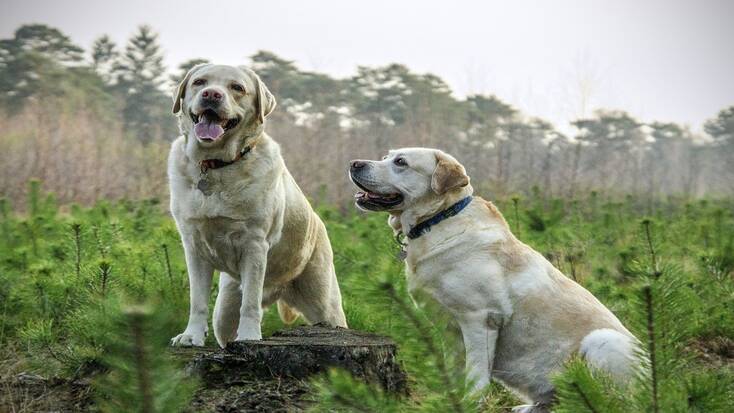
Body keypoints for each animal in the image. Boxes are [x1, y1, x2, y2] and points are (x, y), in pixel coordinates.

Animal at [170, 63, 348, 348]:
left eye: (237, 87)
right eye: (199, 82)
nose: (212, 95)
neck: (217, 165)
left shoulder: (254, 244)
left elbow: (250, 304)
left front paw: (249, 337)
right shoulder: (194, 246)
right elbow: (197, 301)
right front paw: (191, 336)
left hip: (325, 304)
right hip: (225, 309)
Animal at [350, 147, 640, 408]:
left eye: (401, 162)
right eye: (386, 156)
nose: (355, 163)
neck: (438, 220)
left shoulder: (480, 318)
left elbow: (476, 374)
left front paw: (470, 404)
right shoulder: (450, 329)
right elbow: (455, 371)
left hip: (602, 341)